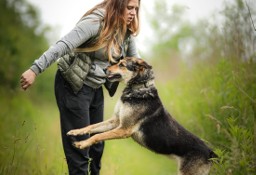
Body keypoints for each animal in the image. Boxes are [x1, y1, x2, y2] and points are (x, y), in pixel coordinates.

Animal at [67, 56, 217, 174]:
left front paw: (82, 144)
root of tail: (210, 152)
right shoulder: (115, 121)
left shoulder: (124, 129)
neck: (138, 88)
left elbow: (97, 136)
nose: (104, 70)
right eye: (118, 62)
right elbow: (91, 127)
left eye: (122, 65)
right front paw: (76, 131)